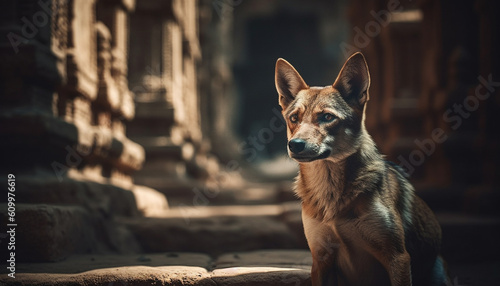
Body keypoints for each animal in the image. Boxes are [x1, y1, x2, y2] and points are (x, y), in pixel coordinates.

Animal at [276, 52, 452, 284]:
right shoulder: (320, 260)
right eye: (294, 118)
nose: (295, 144)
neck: (330, 192)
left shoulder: (398, 258)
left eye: (327, 117)